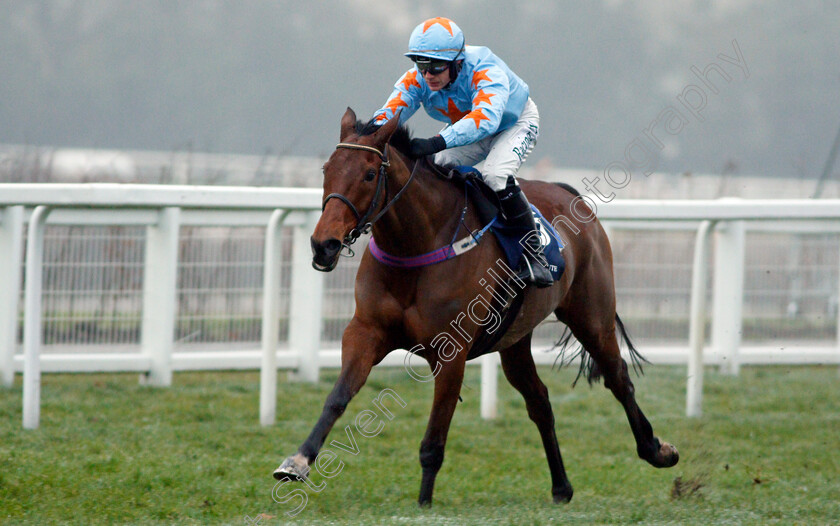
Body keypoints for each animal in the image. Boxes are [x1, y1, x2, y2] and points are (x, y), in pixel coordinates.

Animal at [272, 109, 680, 510]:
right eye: (327, 169)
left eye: (370, 174)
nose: (323, 244)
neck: (416, 248)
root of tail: (569, 193)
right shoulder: (365, 332)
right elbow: (337, 397)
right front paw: (297, 462)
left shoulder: (451, 352)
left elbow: (434, 439)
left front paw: (424, 504)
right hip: (515, 340)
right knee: (540, 401)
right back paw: (561, 487)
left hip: (592, 316)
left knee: (618, 378)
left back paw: (656, 450)